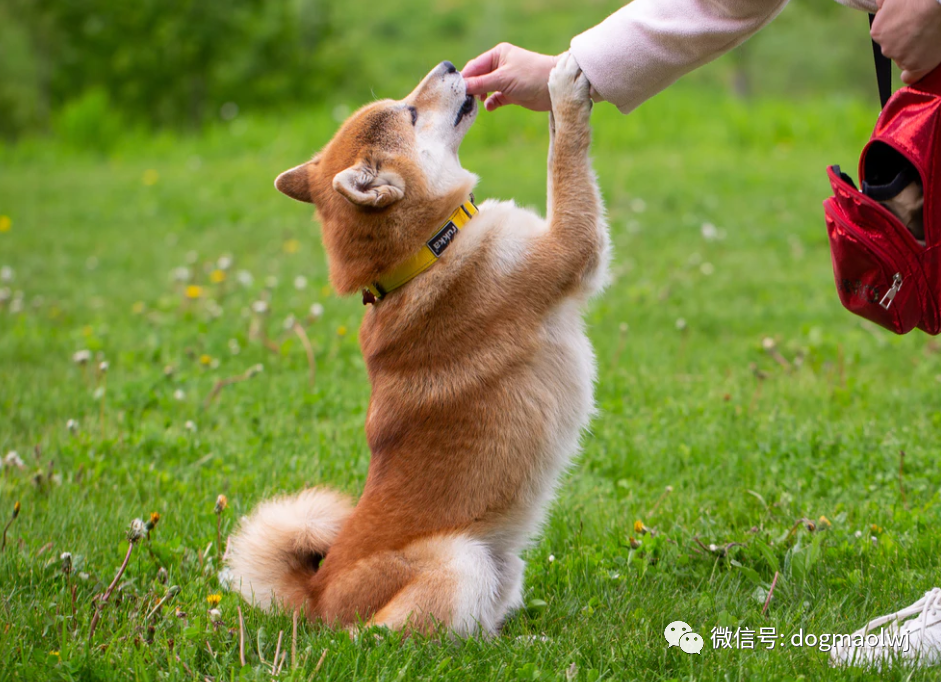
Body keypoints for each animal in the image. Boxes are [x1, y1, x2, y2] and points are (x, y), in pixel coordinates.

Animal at [227, 51, 608, 632]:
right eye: (408, 113)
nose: (451, 64)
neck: (427, 252)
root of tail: (316, 598)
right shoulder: (571, 246)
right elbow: (563, 154)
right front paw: (565, 89)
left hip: (500, 567)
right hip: (460, 560)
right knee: (397, 637)